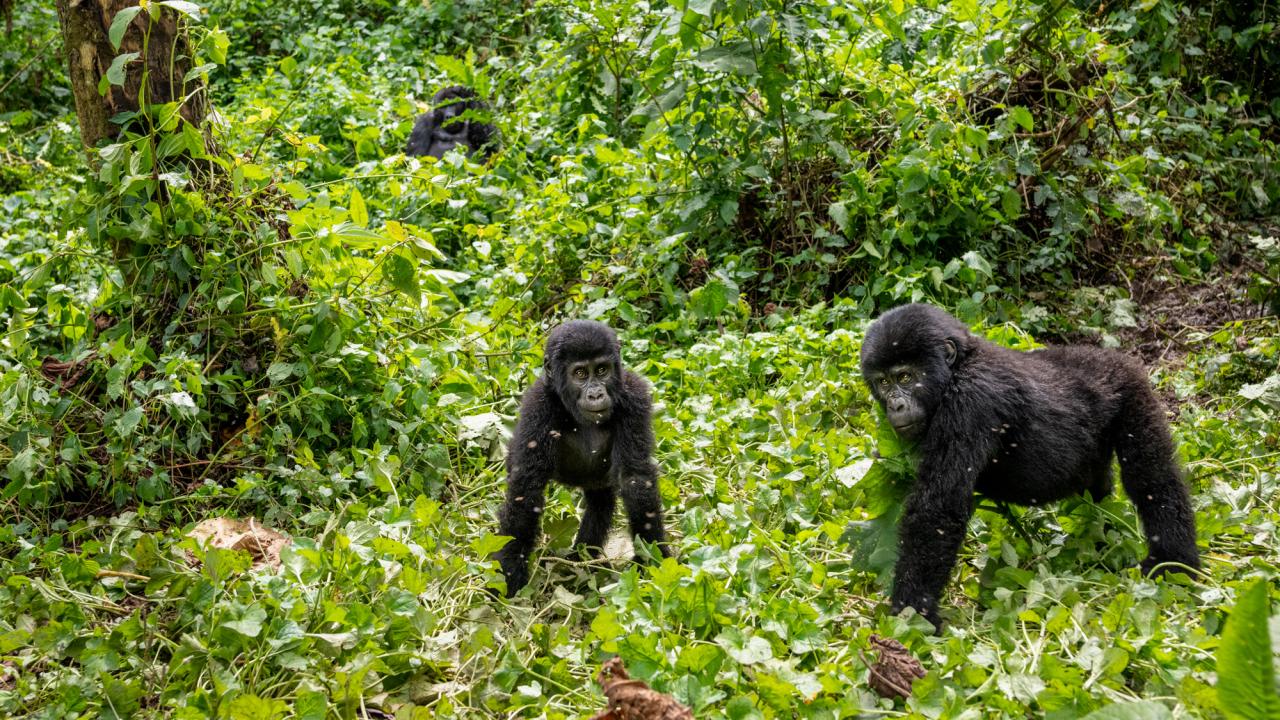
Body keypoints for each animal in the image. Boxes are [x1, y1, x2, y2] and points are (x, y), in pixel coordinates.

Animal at [491, 319, 675, 594]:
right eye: (579, 374)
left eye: (602, 370)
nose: (596, 394)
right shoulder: (538, 404)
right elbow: (526, 486)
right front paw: (510, 569)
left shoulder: (634, 395)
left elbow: (635, 478)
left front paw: (652, 556)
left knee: (600, 503)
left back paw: (581, 558)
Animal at [860, 301, 1198, 622]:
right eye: (883, 383)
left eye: (905, 376)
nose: (895, 405)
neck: (960, 365)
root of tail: (1115, 357)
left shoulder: (969, 401)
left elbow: (938, 509)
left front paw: (912, 614)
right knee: (1098, 494)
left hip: (1131, 388)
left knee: (1151, 476)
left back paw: (1174, 563)